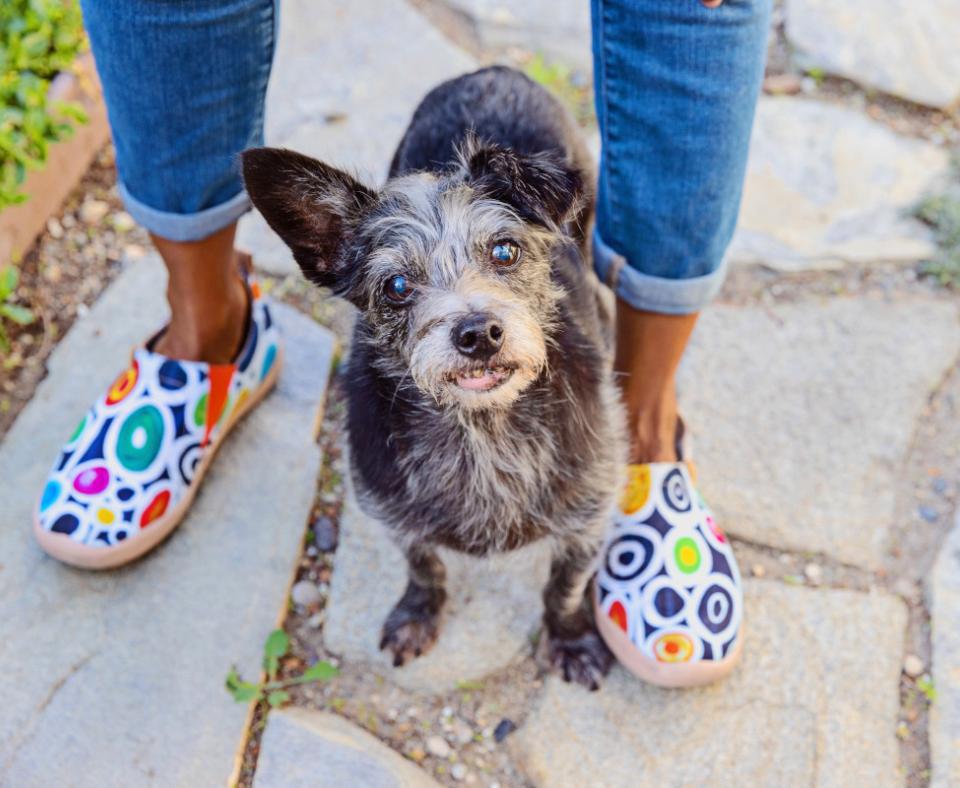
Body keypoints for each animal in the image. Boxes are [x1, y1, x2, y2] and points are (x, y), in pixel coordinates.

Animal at [244, 64, 628, 688]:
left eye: (505, 251)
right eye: (397, 285)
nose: (478, 333)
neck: (482, 432)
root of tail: (494, 71)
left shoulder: (588, 517)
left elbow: (564, 587)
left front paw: (570, 638)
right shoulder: (393, 514)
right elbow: (424, 566)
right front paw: (417, 616)